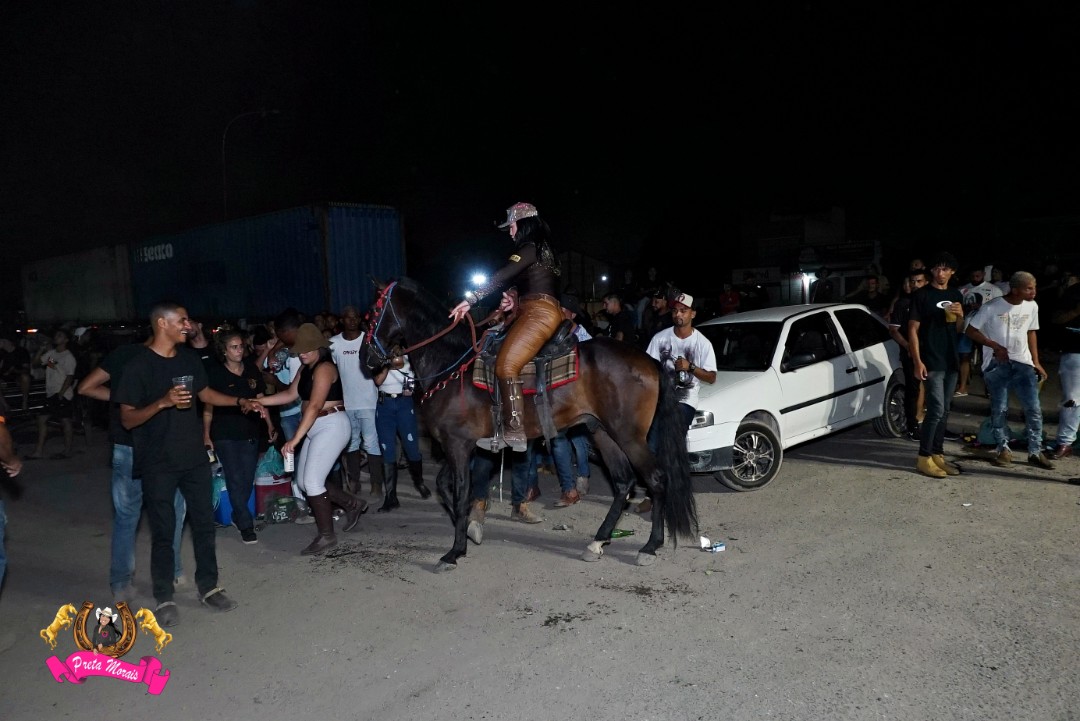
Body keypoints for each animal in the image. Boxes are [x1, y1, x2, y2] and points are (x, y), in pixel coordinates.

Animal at [360, 277, 698, 572]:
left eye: (372, 314)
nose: (366, 359)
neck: (451, 366)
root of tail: (650, 361)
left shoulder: (457, 446)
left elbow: (459, 491)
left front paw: (454, 551)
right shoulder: (464, 446)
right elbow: (446, 487)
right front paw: (469, 528)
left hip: (629, 436)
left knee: (656, 479)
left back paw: (649, 547)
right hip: (602, 432)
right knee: (624, 483)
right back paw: (598, 542)